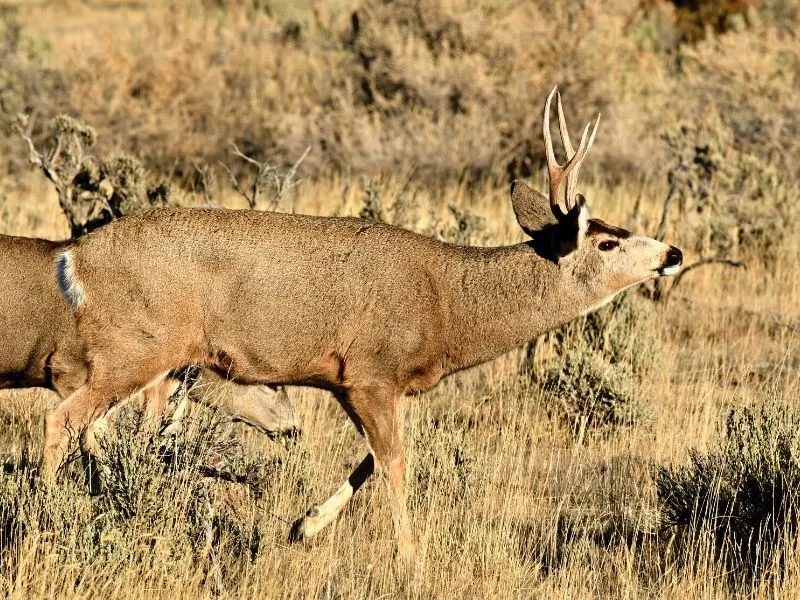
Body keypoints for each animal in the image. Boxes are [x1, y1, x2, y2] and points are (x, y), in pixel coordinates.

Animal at [43, 86, 680, 560]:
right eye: (606, 241)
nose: (672, 252)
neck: (447, 304)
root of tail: (75, 258)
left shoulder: (366, 383)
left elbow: (371, 460)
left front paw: (302, 526)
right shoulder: (370, 372)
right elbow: (395, 461)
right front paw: (411, 557)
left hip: (149, 362)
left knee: (102, 428)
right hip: (137, 348)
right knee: (63, 420)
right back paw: (52, 516)